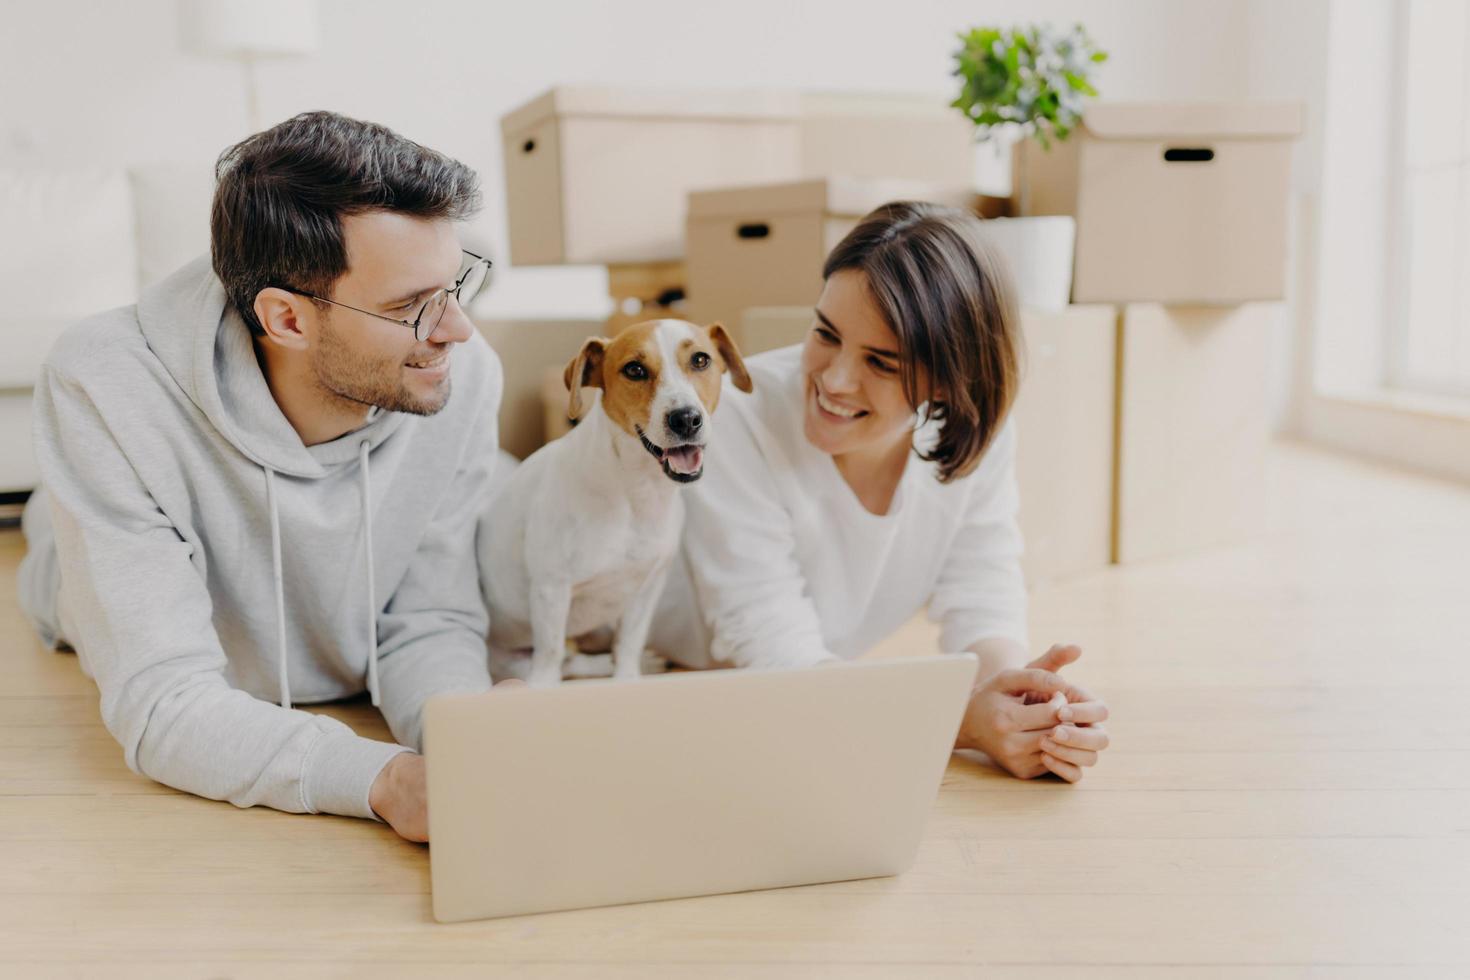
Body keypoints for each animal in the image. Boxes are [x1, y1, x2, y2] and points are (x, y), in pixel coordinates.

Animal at [482, 318, 752, 687]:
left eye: (700, 360)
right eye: (634, 369)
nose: (685, 419)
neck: (633, 490)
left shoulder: (645, 590)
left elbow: (628, 646)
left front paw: (628, 679)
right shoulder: (552, 590)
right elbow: (550, 656)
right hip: (511, 659)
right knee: (567, 661)